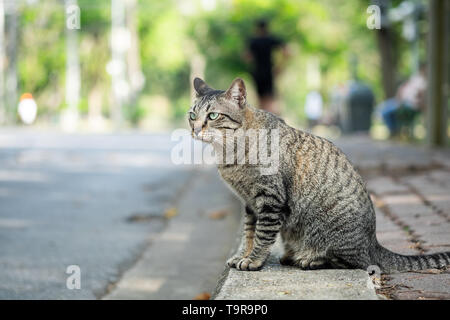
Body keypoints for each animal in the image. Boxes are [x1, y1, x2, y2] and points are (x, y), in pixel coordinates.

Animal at [188, 77, 450, 272]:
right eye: (192, 115)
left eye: (213, 116)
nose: (194, 129)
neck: (229, 152)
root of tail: (373, 242)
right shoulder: (250, 203)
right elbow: (249, 233)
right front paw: (244, 255)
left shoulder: (269, 200)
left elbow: (262, 235)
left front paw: (253, 260)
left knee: (355, 262)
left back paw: (310, 259)